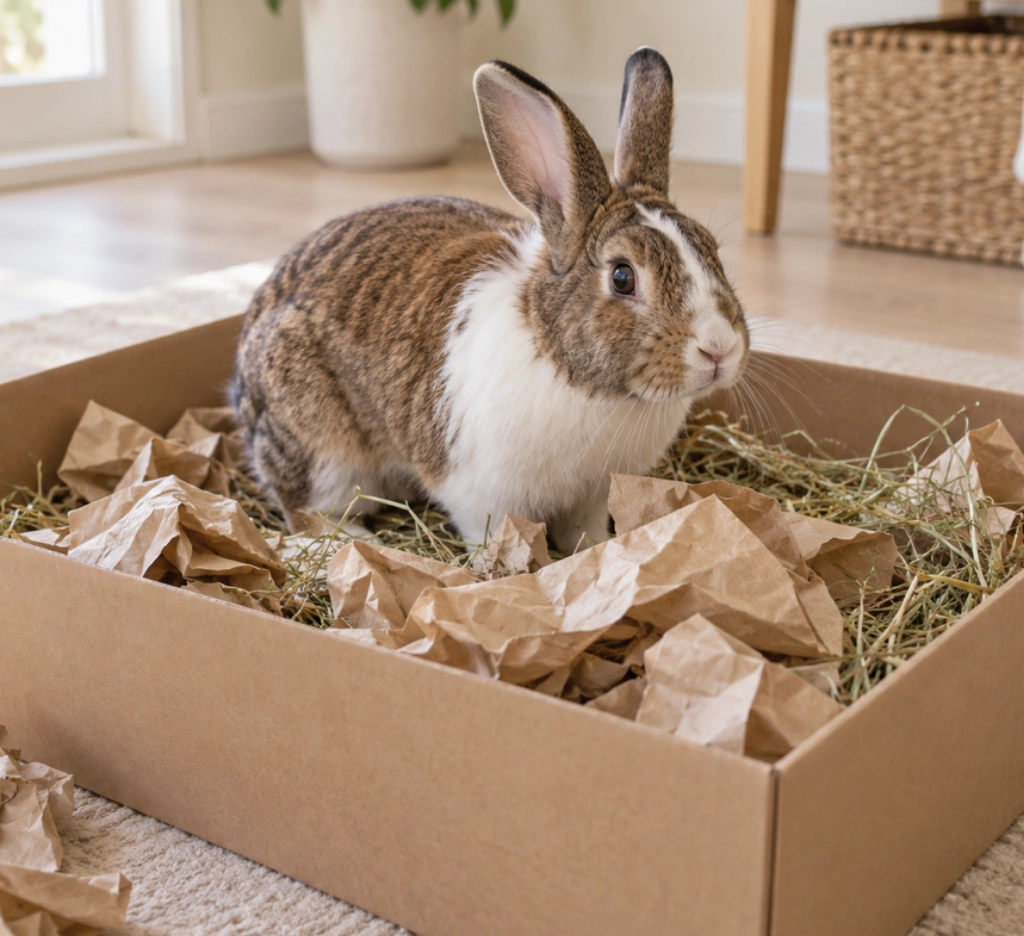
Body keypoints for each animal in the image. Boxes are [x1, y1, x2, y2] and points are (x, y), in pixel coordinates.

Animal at [232, 47, 749, 553]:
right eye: (623, 277)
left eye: (712, 250)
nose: (720, 348)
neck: (564, 365)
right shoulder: (477, 494)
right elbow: (494, 537)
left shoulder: (591, 494)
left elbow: (584, 534)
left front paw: (594, 554)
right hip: (321, 450)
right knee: (307, 512)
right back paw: (360, 543)